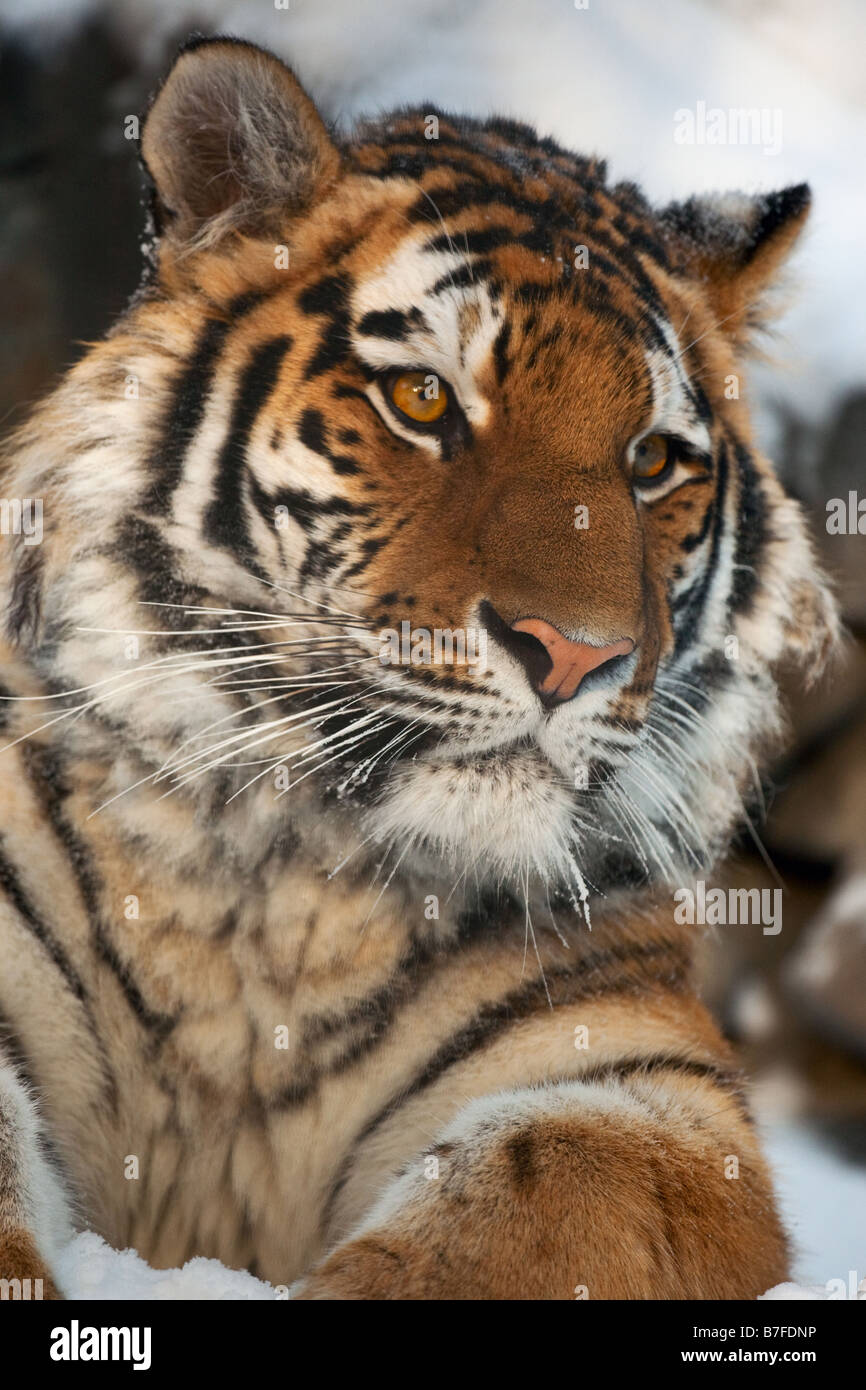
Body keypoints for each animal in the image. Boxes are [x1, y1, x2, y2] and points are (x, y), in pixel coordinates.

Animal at [0, 35, 839, 1301]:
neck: (282, 896)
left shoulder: (641, 1079)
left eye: (650, 461)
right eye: (422, 398)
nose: (574, 654)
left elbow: (533, 1192)